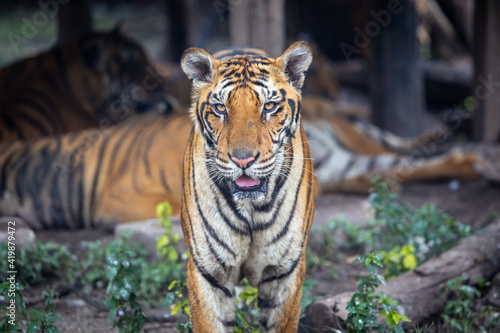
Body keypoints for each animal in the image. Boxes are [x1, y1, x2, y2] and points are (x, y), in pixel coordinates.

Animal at [179, 42, 312, 330]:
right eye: (220, 108)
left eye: (269, 106)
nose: (242, 159)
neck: (252, 208)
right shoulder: (208, 270)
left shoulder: (284, 270)